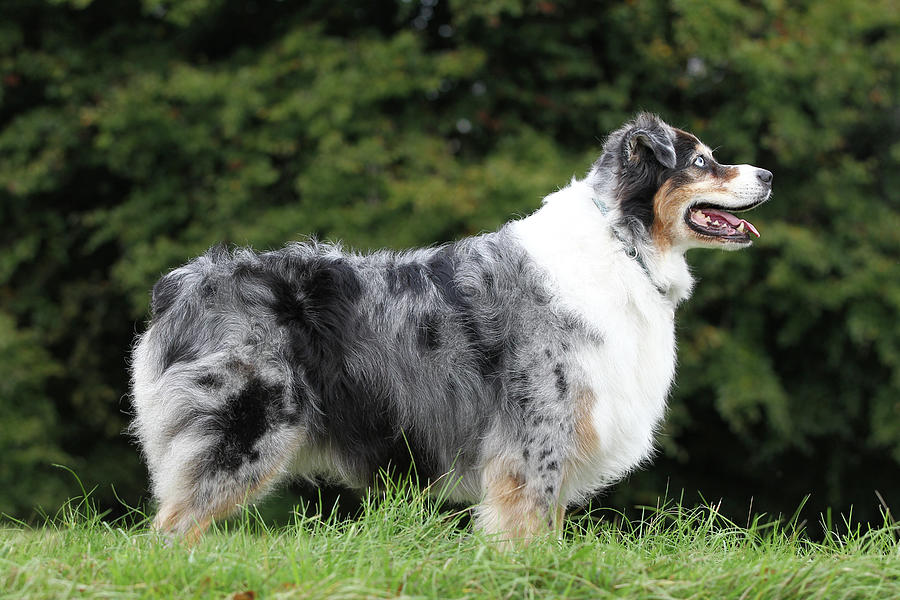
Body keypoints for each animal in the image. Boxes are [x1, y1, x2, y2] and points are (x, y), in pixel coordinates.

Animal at [130, 112, 768, 544]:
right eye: (701, 162)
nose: (767, 173)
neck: (622, 244)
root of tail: (181, 284)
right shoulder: (536, 441)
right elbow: (527, 533)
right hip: (243, 428)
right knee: (171, 527)